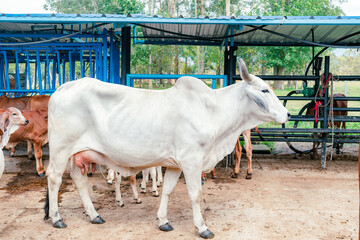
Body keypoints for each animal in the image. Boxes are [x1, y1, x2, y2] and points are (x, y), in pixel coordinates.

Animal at [44, 59, 290, 238]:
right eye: (264, 90)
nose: (287, 114)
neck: (211, 110)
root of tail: (65, 87)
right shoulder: (191, 161)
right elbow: (195, 194)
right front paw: (202, 227)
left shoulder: (175, 164)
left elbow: (167, 190)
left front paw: (163, 220)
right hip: (61, 149)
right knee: (54, 178)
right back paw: (57, 218)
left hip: (77, 154)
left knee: (79, 180)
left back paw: (94, 215)